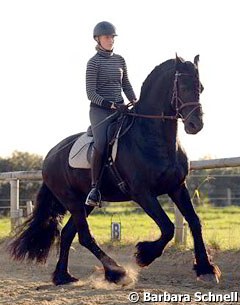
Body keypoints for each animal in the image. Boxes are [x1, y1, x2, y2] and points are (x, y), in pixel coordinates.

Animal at [8, 55, 221, 284]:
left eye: (200, 87)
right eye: (182, 86)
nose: (195, 125)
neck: (154, 138)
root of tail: (50, 156)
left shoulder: (177, 187)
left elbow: (195, 222)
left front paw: (206, 269)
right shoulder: (142, 193)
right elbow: (167, 227)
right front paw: (143, 255)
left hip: (84, 203)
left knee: (68, 234)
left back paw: (64, 276)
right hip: (72, 200)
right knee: (84, 236)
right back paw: (117, 272)